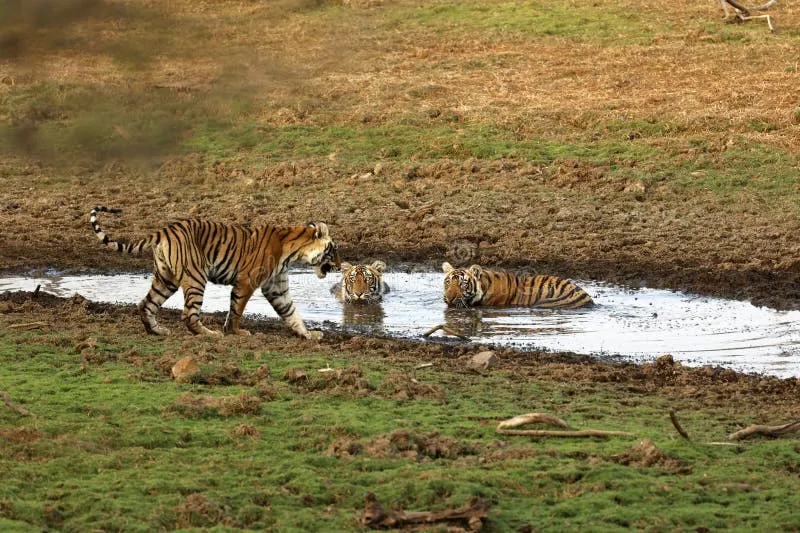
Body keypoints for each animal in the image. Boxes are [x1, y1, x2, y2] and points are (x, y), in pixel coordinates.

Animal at [90, 206, 340, 338]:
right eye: (333, 250)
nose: (339, 265)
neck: (293, 251)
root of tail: (165, 230)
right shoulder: (247, 281)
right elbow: (237, 309)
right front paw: (235, 332)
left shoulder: (276, 286)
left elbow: (290, 312)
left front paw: (309, 334)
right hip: (195, 277)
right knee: (188, 314)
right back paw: (210, 334)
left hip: (166, 279)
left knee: (146, 304)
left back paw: (158, 330)